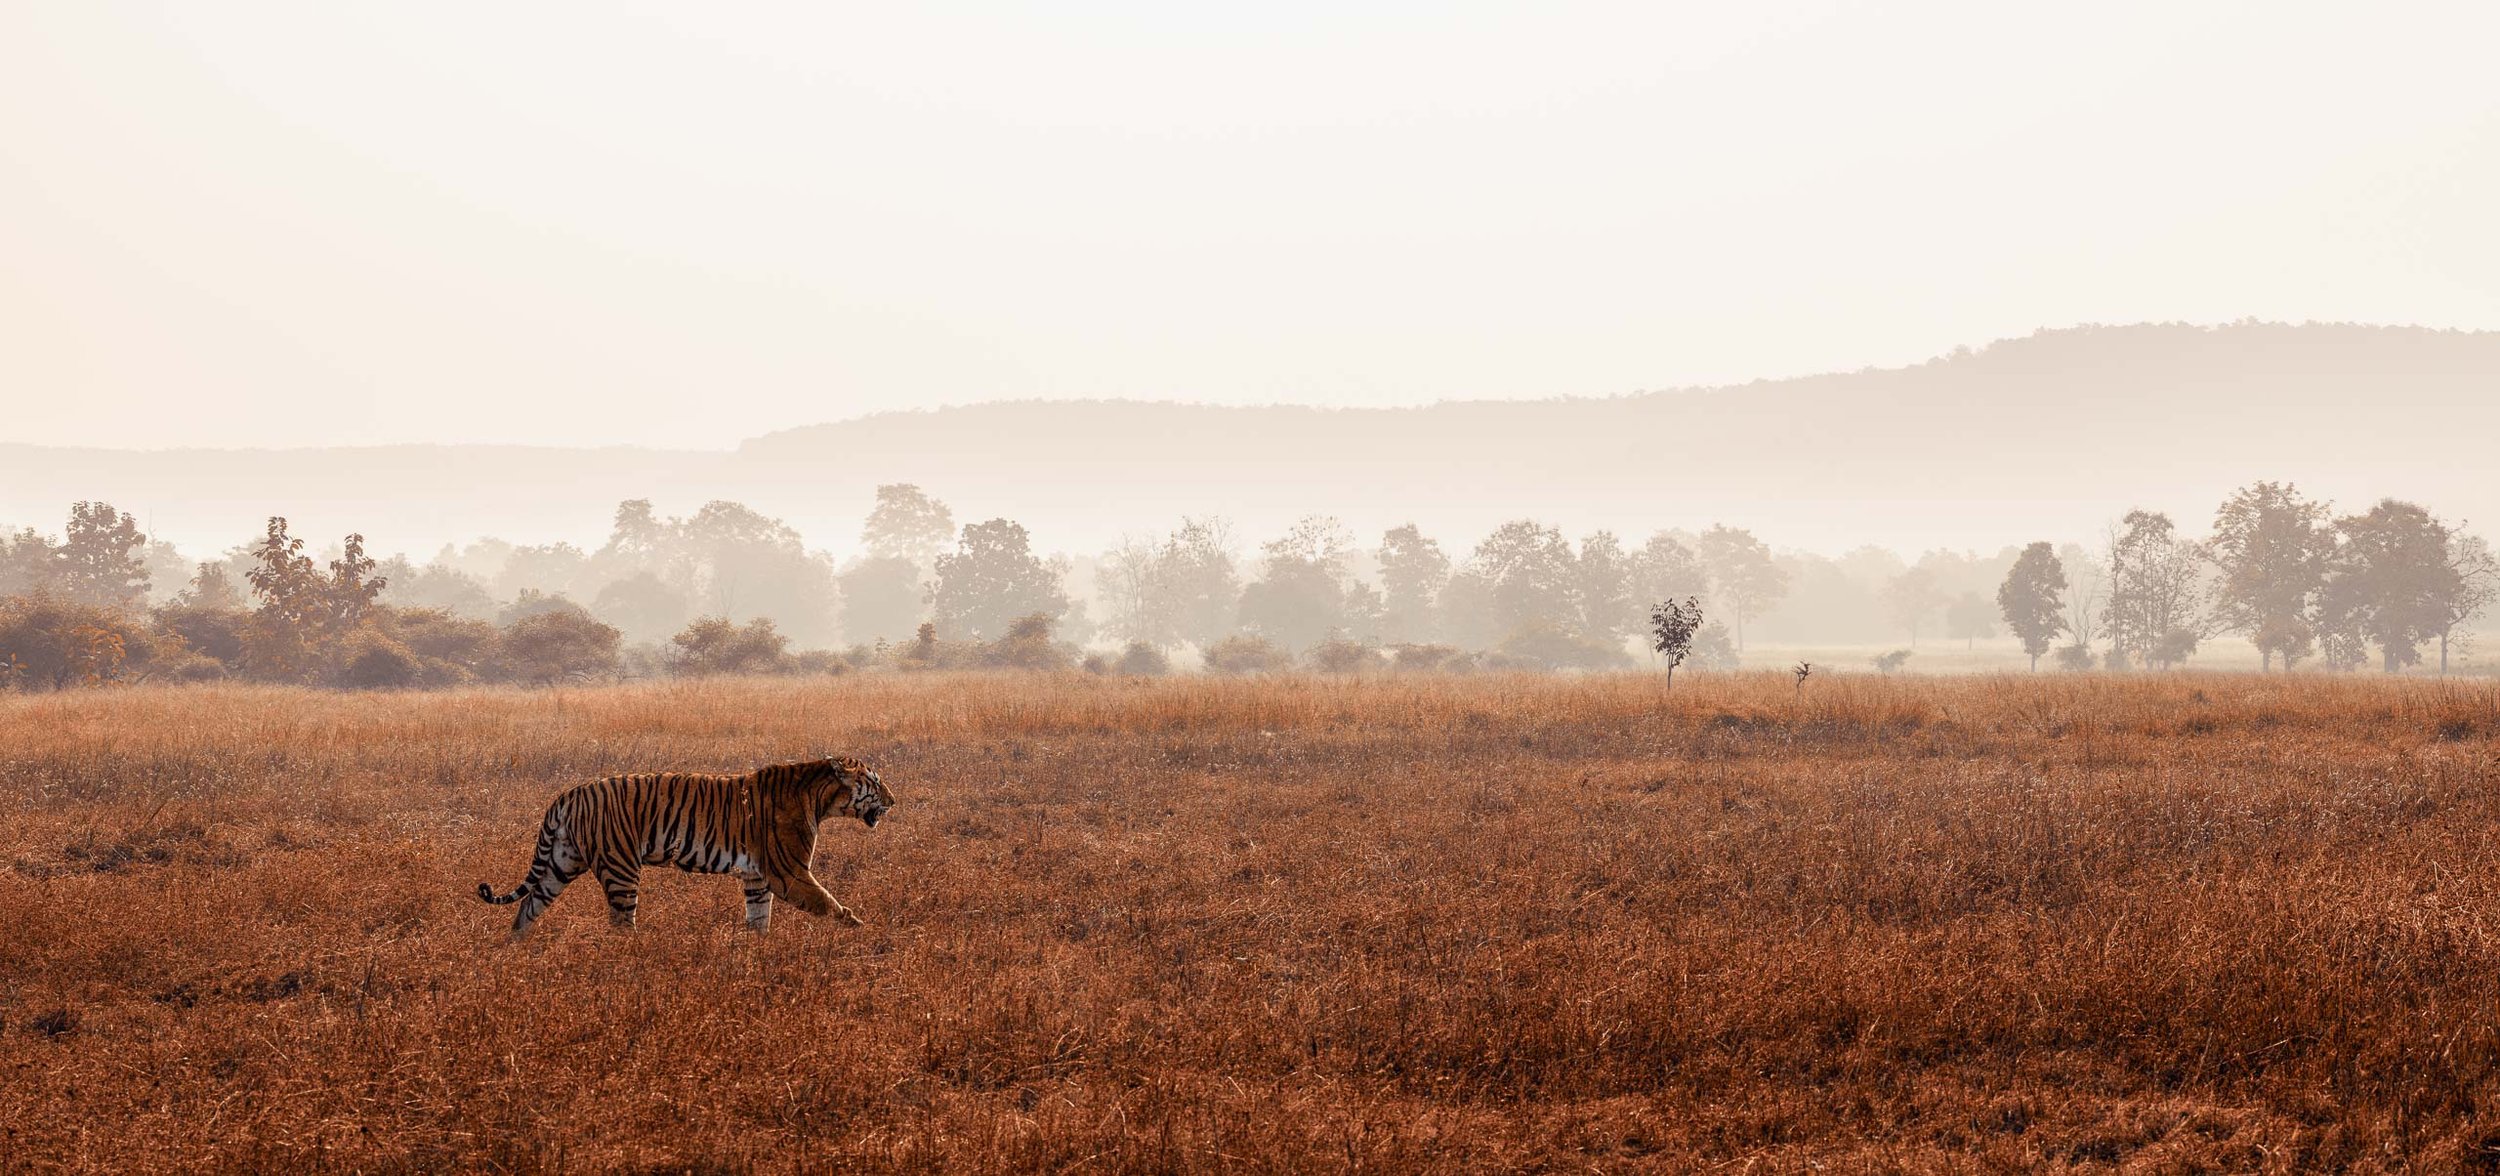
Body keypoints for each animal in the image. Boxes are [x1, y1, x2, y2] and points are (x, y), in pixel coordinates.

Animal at [475, 756, 894, 937]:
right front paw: (860, 930)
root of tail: (568, 794)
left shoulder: (758, 878)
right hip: (620, 868)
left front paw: (758, 951)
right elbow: (829, 905)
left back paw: (516, 950)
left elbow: (759, 919)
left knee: (528, 907)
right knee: (620, 924)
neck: (821, 798)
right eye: (874, 781)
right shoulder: (788, 873)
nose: (894, 799)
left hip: (562, 863)